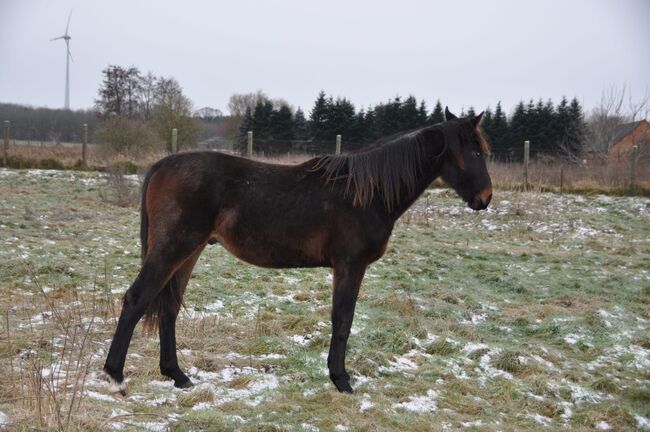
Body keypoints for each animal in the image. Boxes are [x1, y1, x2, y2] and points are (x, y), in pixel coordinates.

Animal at [104, 109, 492, 394]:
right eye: (475, 151)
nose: (485, 198)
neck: (368, 192)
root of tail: (161, 165)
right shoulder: (350, 265)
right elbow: (343, 320)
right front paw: (341, 380)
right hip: (173, 247)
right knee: (137, 299)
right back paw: (115, 374)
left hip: (190, 250)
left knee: (168, 307)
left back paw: (177, 375)